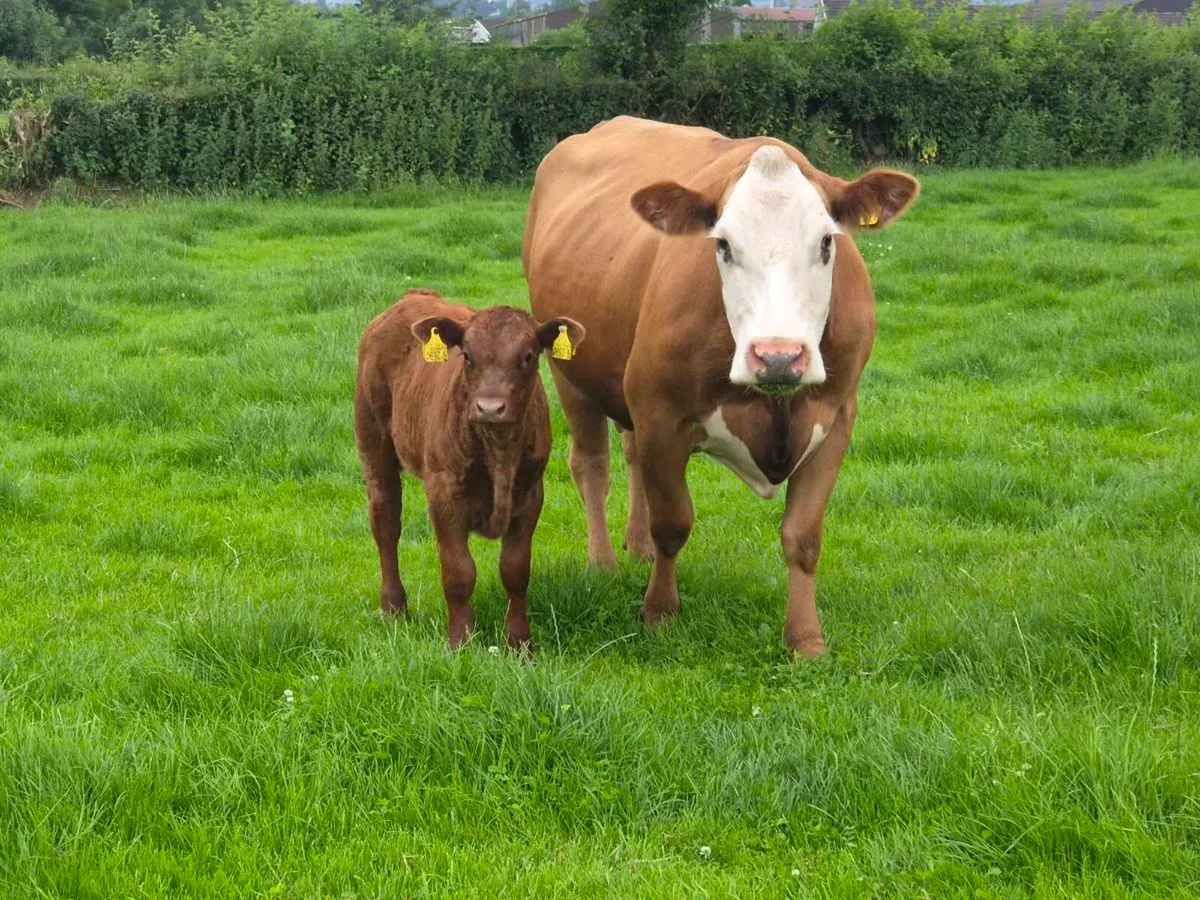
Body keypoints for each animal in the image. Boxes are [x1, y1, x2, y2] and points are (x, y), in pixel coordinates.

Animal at [354, 289, 585, 651]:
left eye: (528, 356)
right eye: (467, 356)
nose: (490, 408)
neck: (498, 451)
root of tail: (413, 295)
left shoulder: (531, 494)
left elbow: (515, 572)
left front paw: (519, 644)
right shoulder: (443, 494)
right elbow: (459, 573)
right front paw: (460, 641)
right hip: (374, 443)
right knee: (386, 523)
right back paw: (393, 608)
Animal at [522, 116, 919, 657]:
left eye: (826, 242)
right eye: (723, 245)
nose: (778, 356)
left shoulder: (835, 418)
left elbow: (803, 536)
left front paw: (806, 639)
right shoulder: (661, 414)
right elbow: (673, 523)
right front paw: (660, 613)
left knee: (629, 454)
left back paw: (637, 547)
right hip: (569, 370)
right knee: (592, 466)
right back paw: (603, 562)